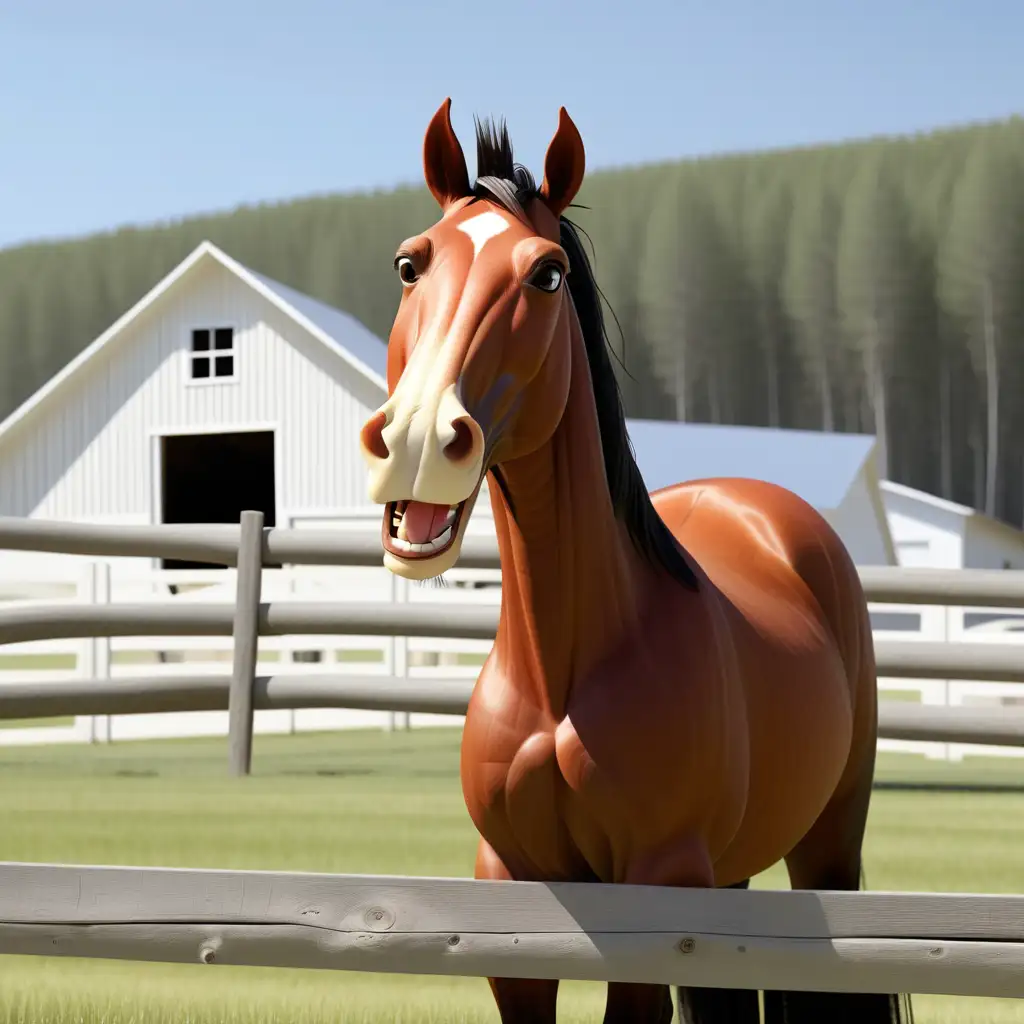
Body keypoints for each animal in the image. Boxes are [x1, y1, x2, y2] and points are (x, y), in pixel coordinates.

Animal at [360, 101, 913, 1024]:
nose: (417, 440)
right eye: (411, 263)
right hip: (725, 881)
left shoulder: (652, 893)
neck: (565, 672)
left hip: (825, 845)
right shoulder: (512, 894)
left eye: (546, 274)